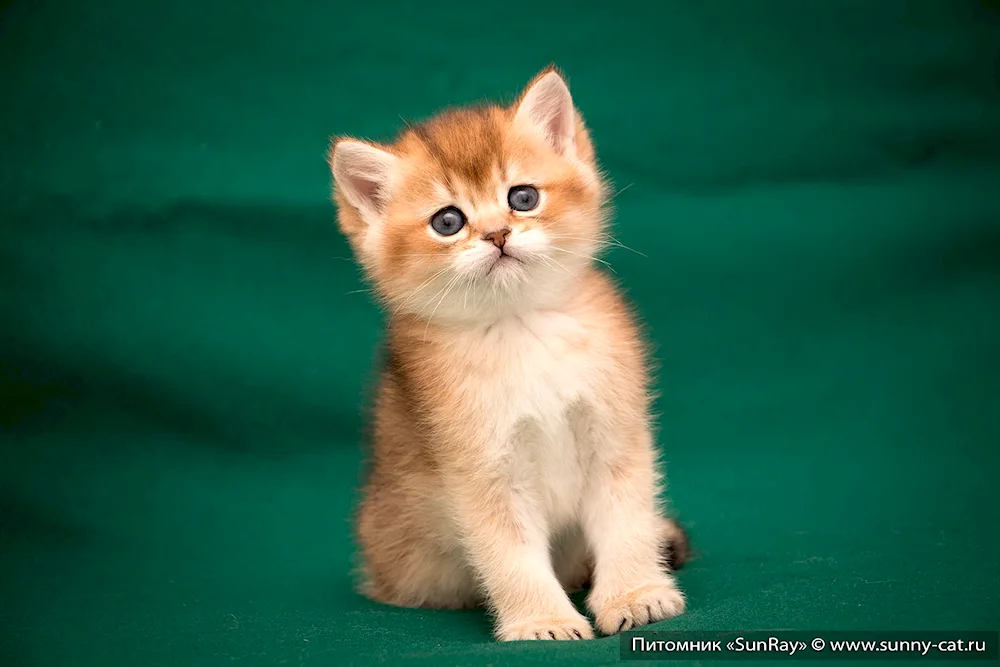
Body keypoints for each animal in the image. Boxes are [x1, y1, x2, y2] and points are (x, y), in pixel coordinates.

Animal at [330, 66, 688, 640]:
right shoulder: (481, 467)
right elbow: (509, 552)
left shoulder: (615, 433)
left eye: (522, 197)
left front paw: (635, 593)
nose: (498, 234)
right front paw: (542, 618)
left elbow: (625, 521)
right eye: (448, 222)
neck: (520, 327)